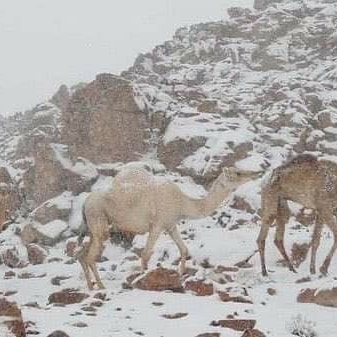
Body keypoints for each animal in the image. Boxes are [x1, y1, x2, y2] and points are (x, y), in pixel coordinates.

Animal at [76, 167, 256, 288]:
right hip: (99, 222)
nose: (254, 173)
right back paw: (101, 286)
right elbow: (145, 254)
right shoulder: (157, 225)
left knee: (82, 254)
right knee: (90, 256)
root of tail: (85, 203)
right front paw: (142, 280)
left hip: (93, 228)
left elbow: (184, 249)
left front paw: (181, 275)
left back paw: (91, 286)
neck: (182, 203)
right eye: (237, 173)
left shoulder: (170, 226)